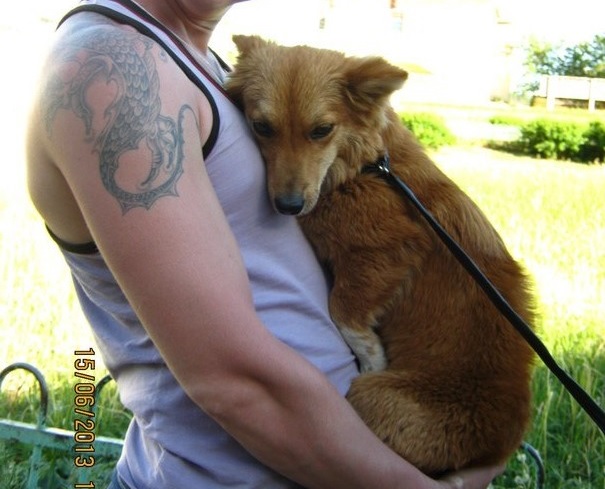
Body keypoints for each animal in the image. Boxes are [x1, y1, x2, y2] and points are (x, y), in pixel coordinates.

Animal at [225, 35, 536, 475]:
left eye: (322, 130)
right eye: (262, 127)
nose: (287, 206)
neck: (368, 166)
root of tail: (497, 445)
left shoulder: (389, 249)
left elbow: (344, 312)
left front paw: (371, 357)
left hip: (372, 400)